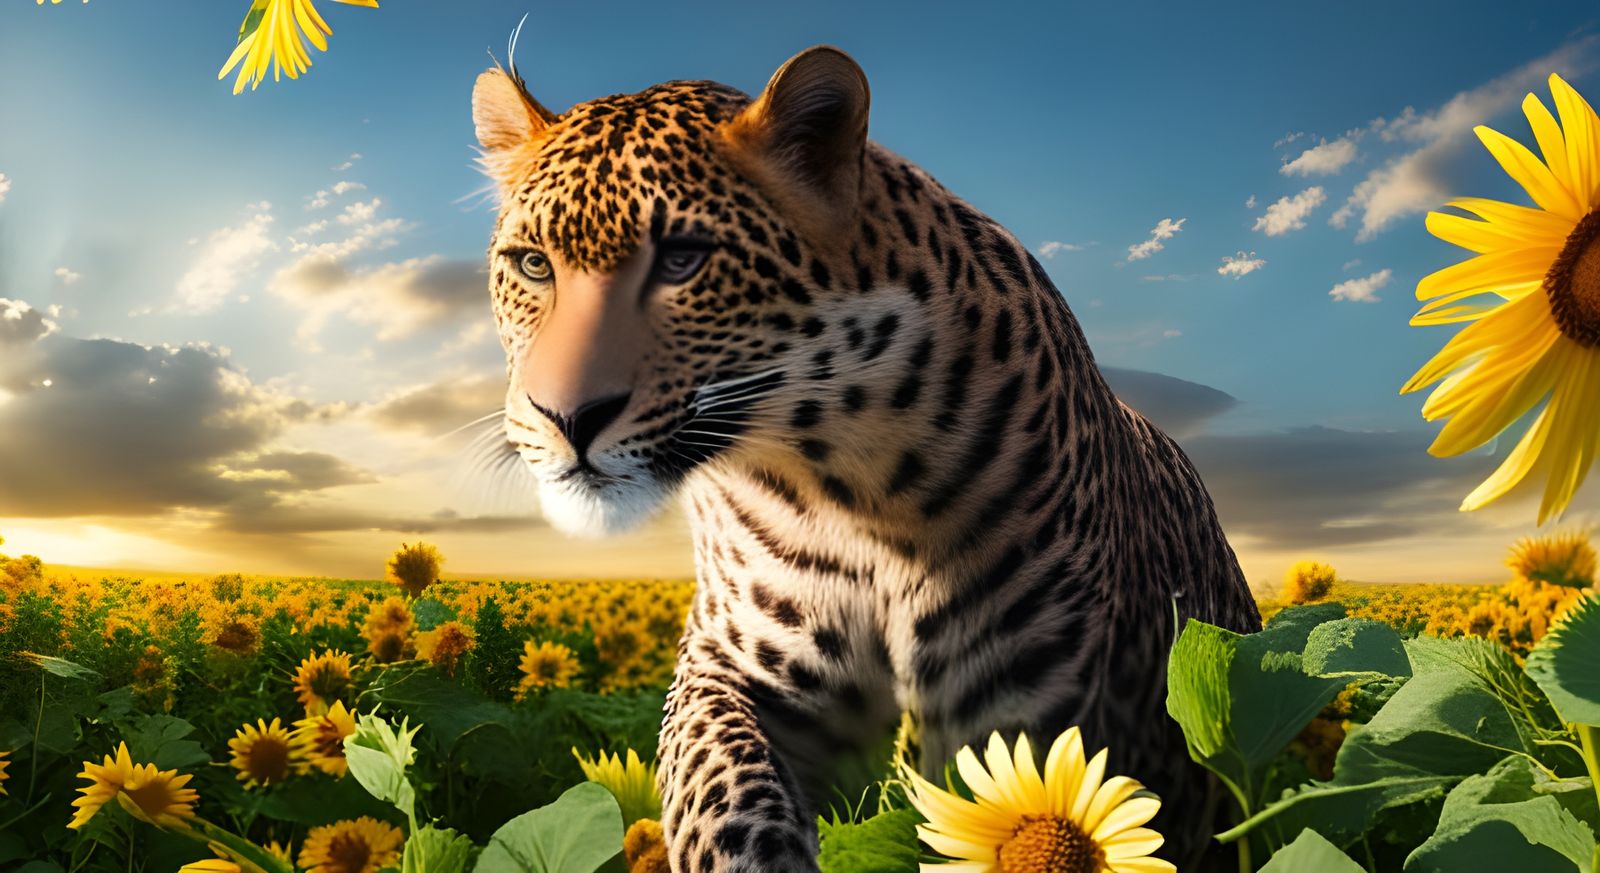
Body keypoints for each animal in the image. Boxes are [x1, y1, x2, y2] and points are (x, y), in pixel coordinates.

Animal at [471, 45, 1261, 871]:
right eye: (533, 265)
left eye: (683, 260)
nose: (566, 416)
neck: (846, 491)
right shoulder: (725, 661)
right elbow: (719, 781)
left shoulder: (1018, 716)